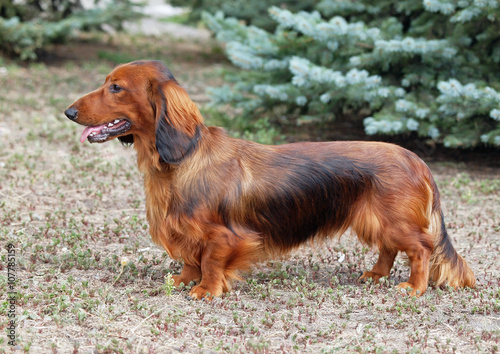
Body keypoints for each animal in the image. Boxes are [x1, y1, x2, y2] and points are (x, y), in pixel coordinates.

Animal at [64, 60, 474, 298]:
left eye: (116, 87)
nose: (68, 112)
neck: (181, 160)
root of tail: (416, 159)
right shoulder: (185, 230)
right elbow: (191, 258)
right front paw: (184, 280)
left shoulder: (223, 236)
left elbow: (210, 261)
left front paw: (206, 290)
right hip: (375, 219)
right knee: (389, 248)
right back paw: (376, 275)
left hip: (397, 222)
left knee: (421, 249)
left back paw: (414, 287)